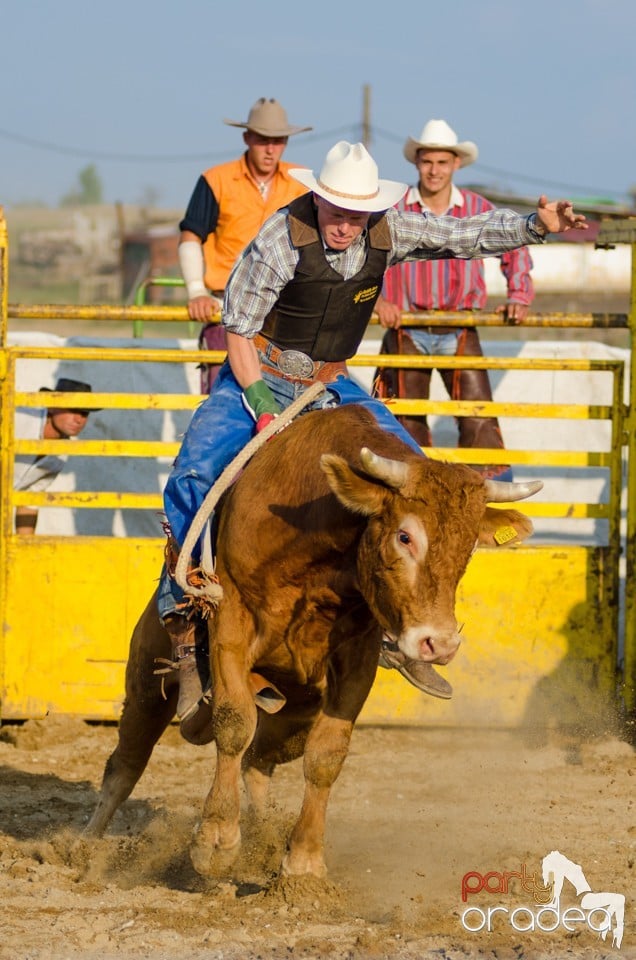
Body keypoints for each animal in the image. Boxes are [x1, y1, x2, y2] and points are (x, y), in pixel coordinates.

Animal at [85, 404, 540, 876]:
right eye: (405, 536)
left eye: (468, 547)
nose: (441, 645)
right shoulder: (231, 623)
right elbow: (234, 724)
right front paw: (216, 839)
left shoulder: (357, 657)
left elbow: (327, 755)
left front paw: (303, 859)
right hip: (146, 682)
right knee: (127, 762)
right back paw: (85, 846)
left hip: (293, 715)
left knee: (258, 763)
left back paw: (263, 833)